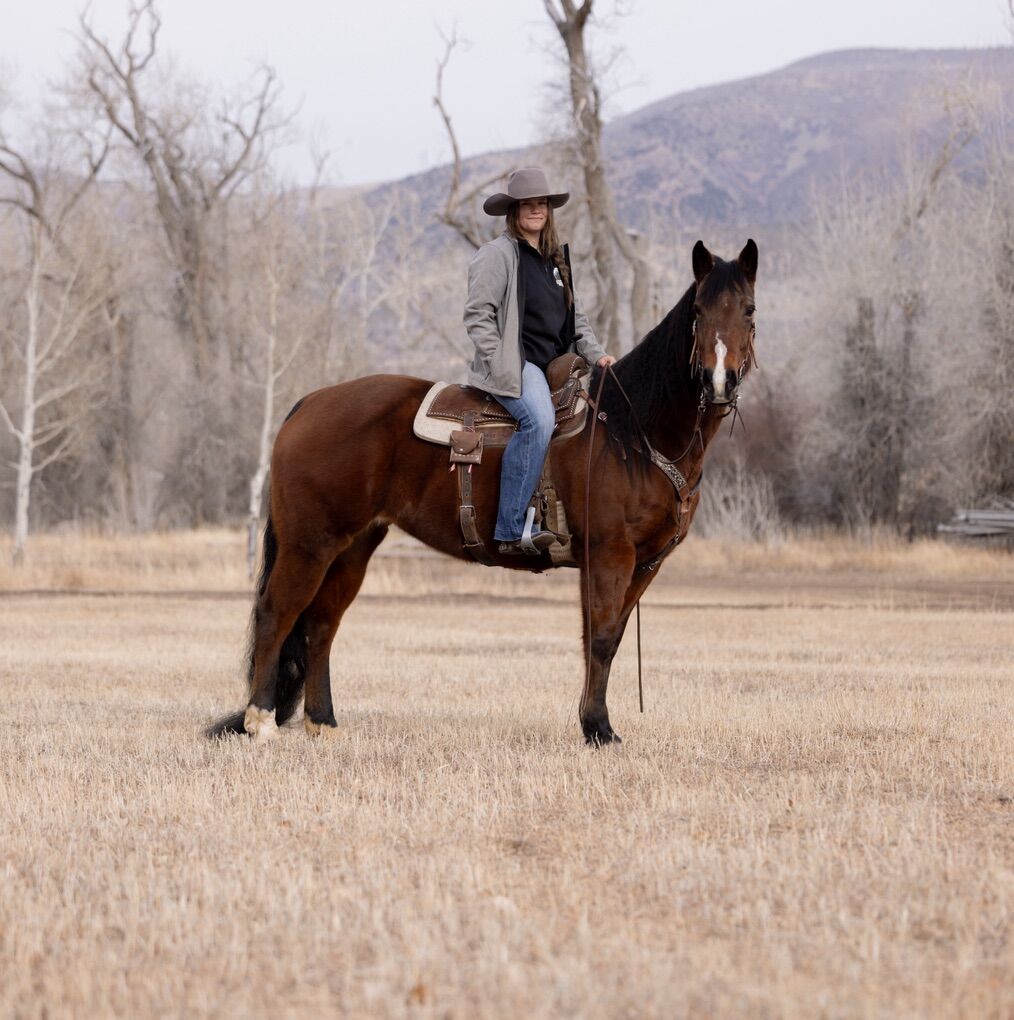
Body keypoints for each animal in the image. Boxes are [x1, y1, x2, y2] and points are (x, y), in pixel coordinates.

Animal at [208, 238, 759, 745]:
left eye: (749, 310)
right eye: (698, 311)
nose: (720, 380)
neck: (630, 431)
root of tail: (308, 404)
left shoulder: (646, 562)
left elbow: (612, 639)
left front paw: (596, 724)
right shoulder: (609, 554)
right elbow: (599, 639)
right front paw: (597, 728)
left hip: (354, 546)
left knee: (321, 625)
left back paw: (323, 722)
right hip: (309, 544)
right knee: (277, 615)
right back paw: (259, 722)